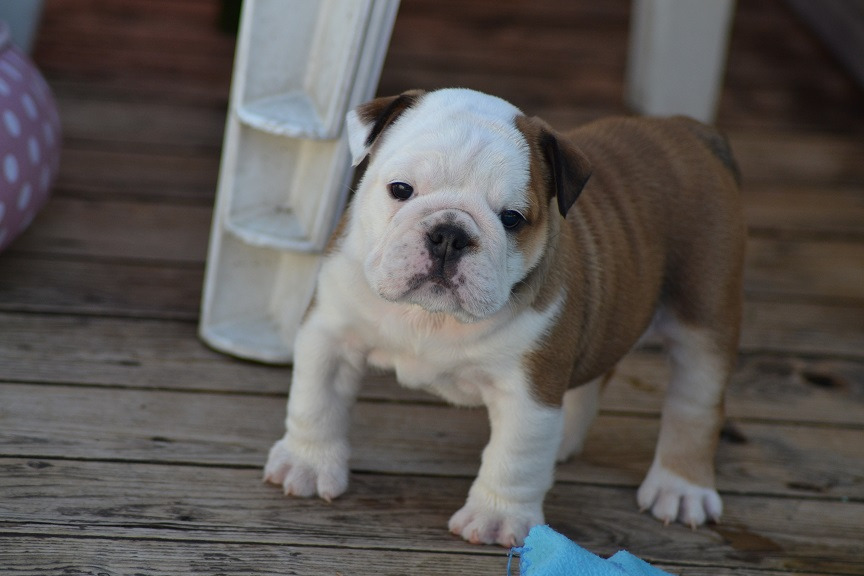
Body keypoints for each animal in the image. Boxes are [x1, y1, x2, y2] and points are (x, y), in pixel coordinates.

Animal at [262, 88, 744, 548]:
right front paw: (307, 463)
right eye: (400, 189)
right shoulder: (332, 335)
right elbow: (317, 400)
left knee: (695, 405)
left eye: (511, 218)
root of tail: (688, 130)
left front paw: (497, 518)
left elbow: (514, 457)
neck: (430, 318)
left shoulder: (528, 391)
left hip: (703, 319)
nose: (449, 234)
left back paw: (680, 488)